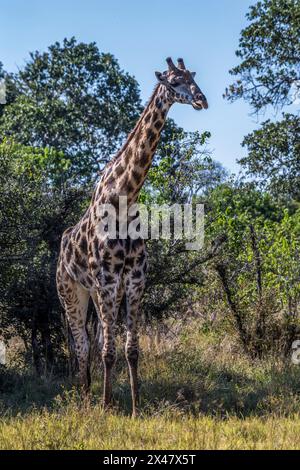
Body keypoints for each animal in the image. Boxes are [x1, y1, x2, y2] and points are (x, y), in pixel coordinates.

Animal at [56, 57, 207, 414]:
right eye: (173, 82)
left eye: (193, 78)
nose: (201, 100)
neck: (125, 196)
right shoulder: (108, 281)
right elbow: (108, 351)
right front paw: (105, 407)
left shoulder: (135, 280)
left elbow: (131, 350)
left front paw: (136, 408)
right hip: (71, 292)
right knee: (82, 346)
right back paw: (87, 401)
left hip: (94, 292)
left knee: (96, 341)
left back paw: (99, 397)